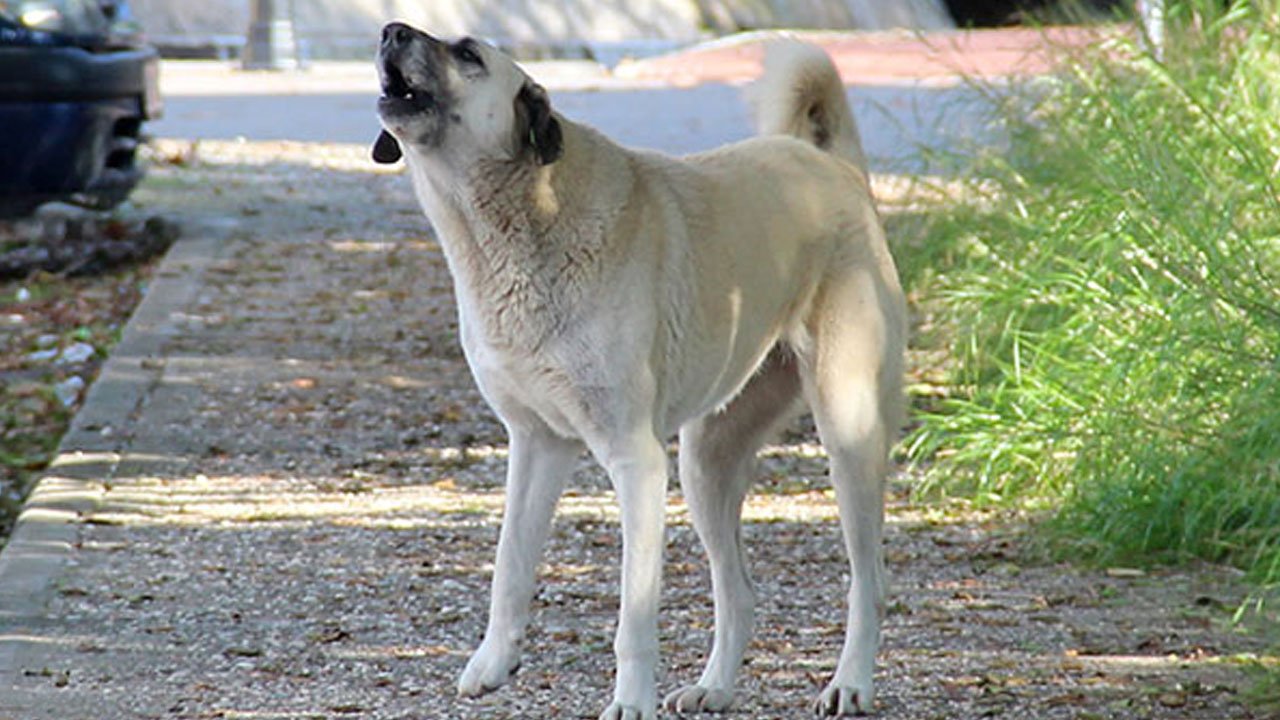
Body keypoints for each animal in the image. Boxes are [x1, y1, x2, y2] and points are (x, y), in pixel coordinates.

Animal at [373, 20, 906, 712]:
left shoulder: (636, 461)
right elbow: (510, 564)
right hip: (706, 463)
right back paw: (714, 687)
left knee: (868, 582)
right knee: (738, 593)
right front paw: (493, 661)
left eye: (468, 53)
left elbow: (634, 615)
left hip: (848, 432)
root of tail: (835, 167)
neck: (522, 220)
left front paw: (629, 701)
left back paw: (850, 682)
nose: (390, 31)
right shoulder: (536, 445)